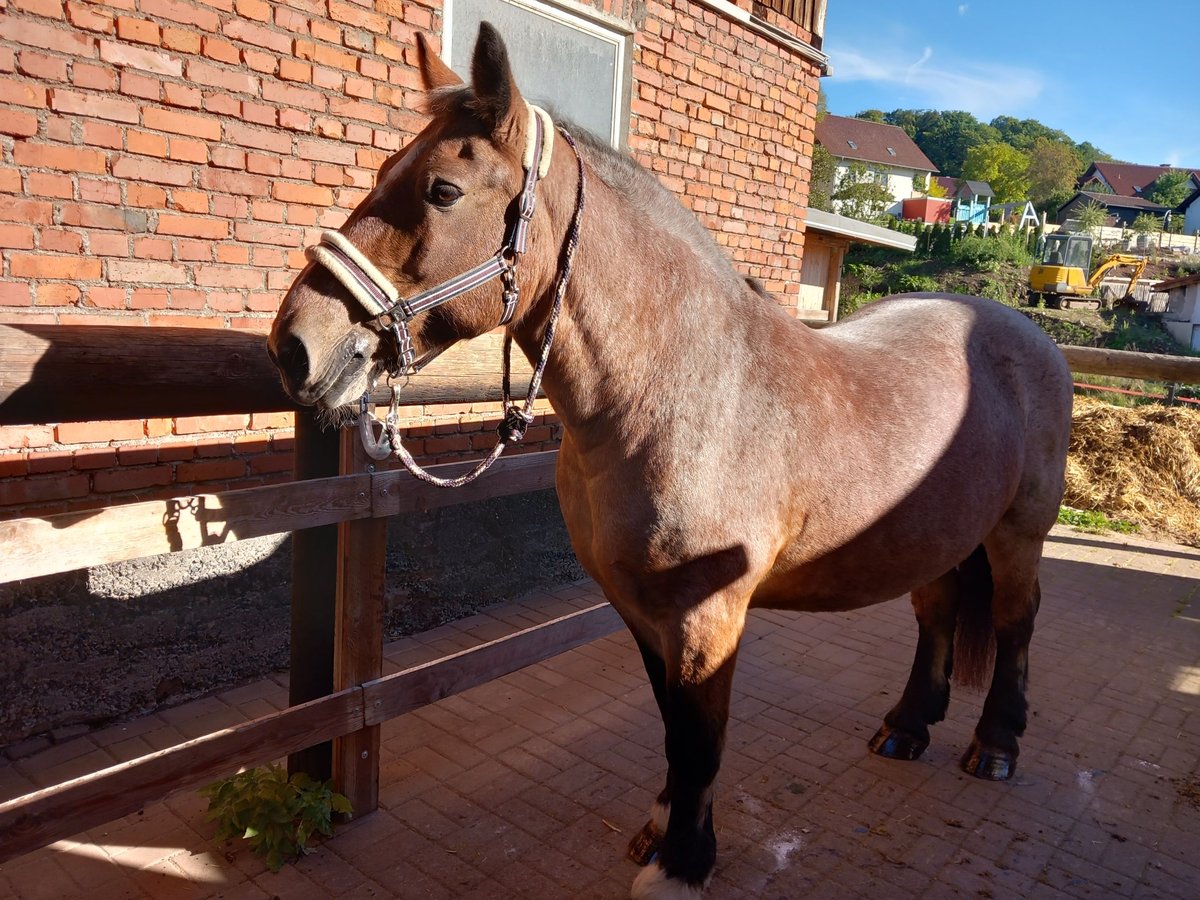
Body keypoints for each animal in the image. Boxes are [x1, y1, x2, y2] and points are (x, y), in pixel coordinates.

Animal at [274, 22, 1080, 900]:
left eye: (442, 191)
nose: (295, 345)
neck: (678, 391)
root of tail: (1027, 332)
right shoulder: (640, 608)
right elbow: (670, 723)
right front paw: (662, 831)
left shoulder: (707, 614)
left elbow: (699, 735)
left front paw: (682, 862)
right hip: (936, 534)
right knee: (936, 613)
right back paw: (906, 727)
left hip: (1017, 534)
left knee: (1019, 621)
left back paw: (996, 744)